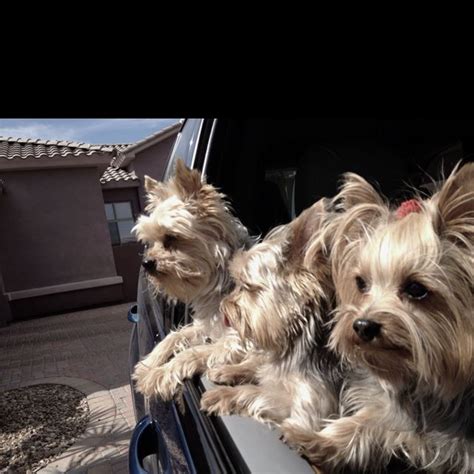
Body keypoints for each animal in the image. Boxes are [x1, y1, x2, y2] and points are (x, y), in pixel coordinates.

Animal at [131, 161, 254, 402]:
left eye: (171, 238)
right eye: (149, 241)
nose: (146, 263)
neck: (221, 283)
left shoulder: (237, 342)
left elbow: (190, 353)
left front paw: (158, 374)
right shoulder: (206, 326)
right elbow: (174, 336)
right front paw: (150, 363)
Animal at [200, 196, 344, 440]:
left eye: (247, 286)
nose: (223, 306)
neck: (295, 342)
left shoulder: (309, 411)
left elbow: (256, 391)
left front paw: (222, 395)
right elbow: (257, 364)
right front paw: (228, 370)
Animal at [282, 161, 474, 472]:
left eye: (416, 289)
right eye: (361, 283)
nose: (362, 325)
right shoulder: (395, 411)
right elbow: (368, 421)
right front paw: (317, 439)